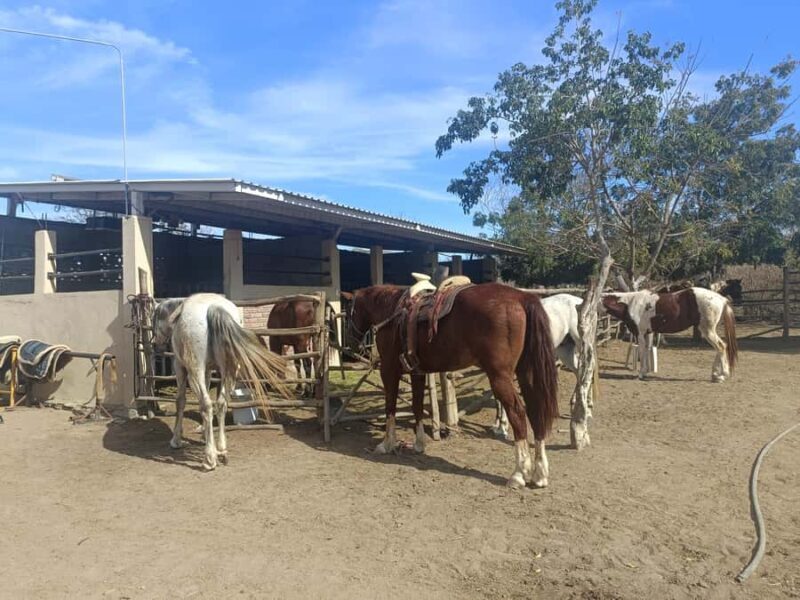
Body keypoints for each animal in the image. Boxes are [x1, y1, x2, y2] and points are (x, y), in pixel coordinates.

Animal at [152, 293, 288, 470]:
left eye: (153, 319)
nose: (156, 345)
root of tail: (214, 307)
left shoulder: (180, 367)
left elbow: (180, 401)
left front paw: (176, 439)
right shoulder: (208, 370)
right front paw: (204, 435)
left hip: (195, 371)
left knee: (206, 404)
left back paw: (210, 458)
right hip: (228, 371)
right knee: (221, 404)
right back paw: (222, 450)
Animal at [349, 282, 559, 489]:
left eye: (349, 312)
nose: (353, 347)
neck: (392, 311)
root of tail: (521, 297)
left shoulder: (389, 370)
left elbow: (390, 406)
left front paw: (386, 444)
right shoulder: (417, 372)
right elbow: (417, 406)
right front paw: (419, 444)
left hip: (500, 376)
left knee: (518, 412)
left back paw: (518, 474)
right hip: (526, 373)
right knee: (535, 411)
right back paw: (540, 474)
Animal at [493, 293, 587, 440]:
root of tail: (579, 300)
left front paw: (503, 428)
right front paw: (499, 427)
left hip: (580, 342)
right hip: (565, 349)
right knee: (578, 371)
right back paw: (575, 403)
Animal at [602, 288, 737, 382]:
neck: (630, 303)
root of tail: (721, 299)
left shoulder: (640, 334)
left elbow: (642, 352)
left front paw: (641, 374)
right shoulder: (648, 334)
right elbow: (646, 350)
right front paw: (645, 372)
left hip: (708, 331)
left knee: (721, 347)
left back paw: (722, 375)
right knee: (720, 347)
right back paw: (715, 375)